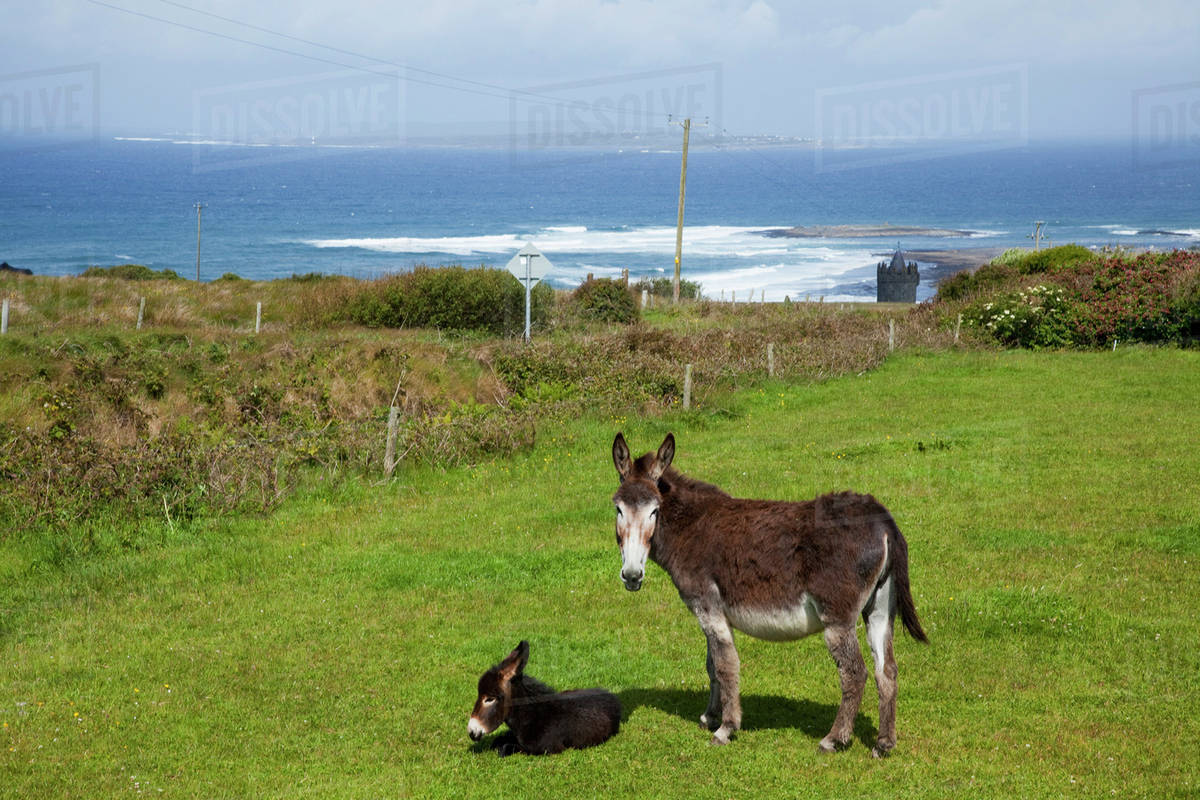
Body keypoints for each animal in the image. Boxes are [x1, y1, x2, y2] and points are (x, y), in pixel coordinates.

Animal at [468, 640, 622, 756]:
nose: (471, 732)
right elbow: (499, 740)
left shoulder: (547, 748)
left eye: (489, 699)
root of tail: (609, 694)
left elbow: (505, 748)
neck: (529, 715)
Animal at [610, 432, 928, 756]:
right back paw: (884, 743)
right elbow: (712, 665)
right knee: (886, 670)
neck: (690, 528)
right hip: (879, 609)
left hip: (838, 617)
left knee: (854, 672)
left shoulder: (708, 608)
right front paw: (710, 716)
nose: (632, 576)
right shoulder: (713, 614)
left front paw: (726, 728)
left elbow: (725, 665)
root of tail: (882, 518)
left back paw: (834, 739)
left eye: (654, 511)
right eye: (618, 509)